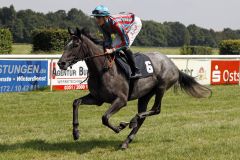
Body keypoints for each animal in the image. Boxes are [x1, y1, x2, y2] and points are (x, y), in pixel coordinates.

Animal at [57, 27, 211, 149]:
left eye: (75, 44)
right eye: (66, 44)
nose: (61, 63)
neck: (103, 69)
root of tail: (173, 65)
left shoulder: (121, 100)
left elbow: (105, 117)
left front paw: (119, 127)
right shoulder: (97, 98)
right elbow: (76, 102)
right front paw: (76, 132)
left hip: (161, 87)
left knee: (155, 110)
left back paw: (131, 122)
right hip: (145, 95)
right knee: (143, 115)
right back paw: (127, 140)